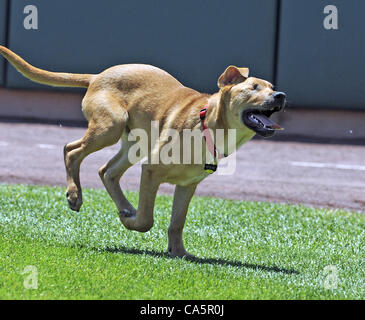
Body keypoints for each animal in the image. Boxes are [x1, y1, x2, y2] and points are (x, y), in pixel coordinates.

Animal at [0, 46, 284, 258]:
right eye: (254, 88)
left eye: (272, 87)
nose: (280, 95)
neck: (208, 125)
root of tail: (97, 76)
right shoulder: (151, 170)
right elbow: (147, 218)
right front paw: (131, 223)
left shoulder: (187, 184)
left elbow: (177, 222)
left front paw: (178, 252)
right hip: (111, 125)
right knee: (71, 150)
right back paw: (75, 195)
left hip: (136, 143)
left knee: (107, 171)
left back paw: (125, 207)